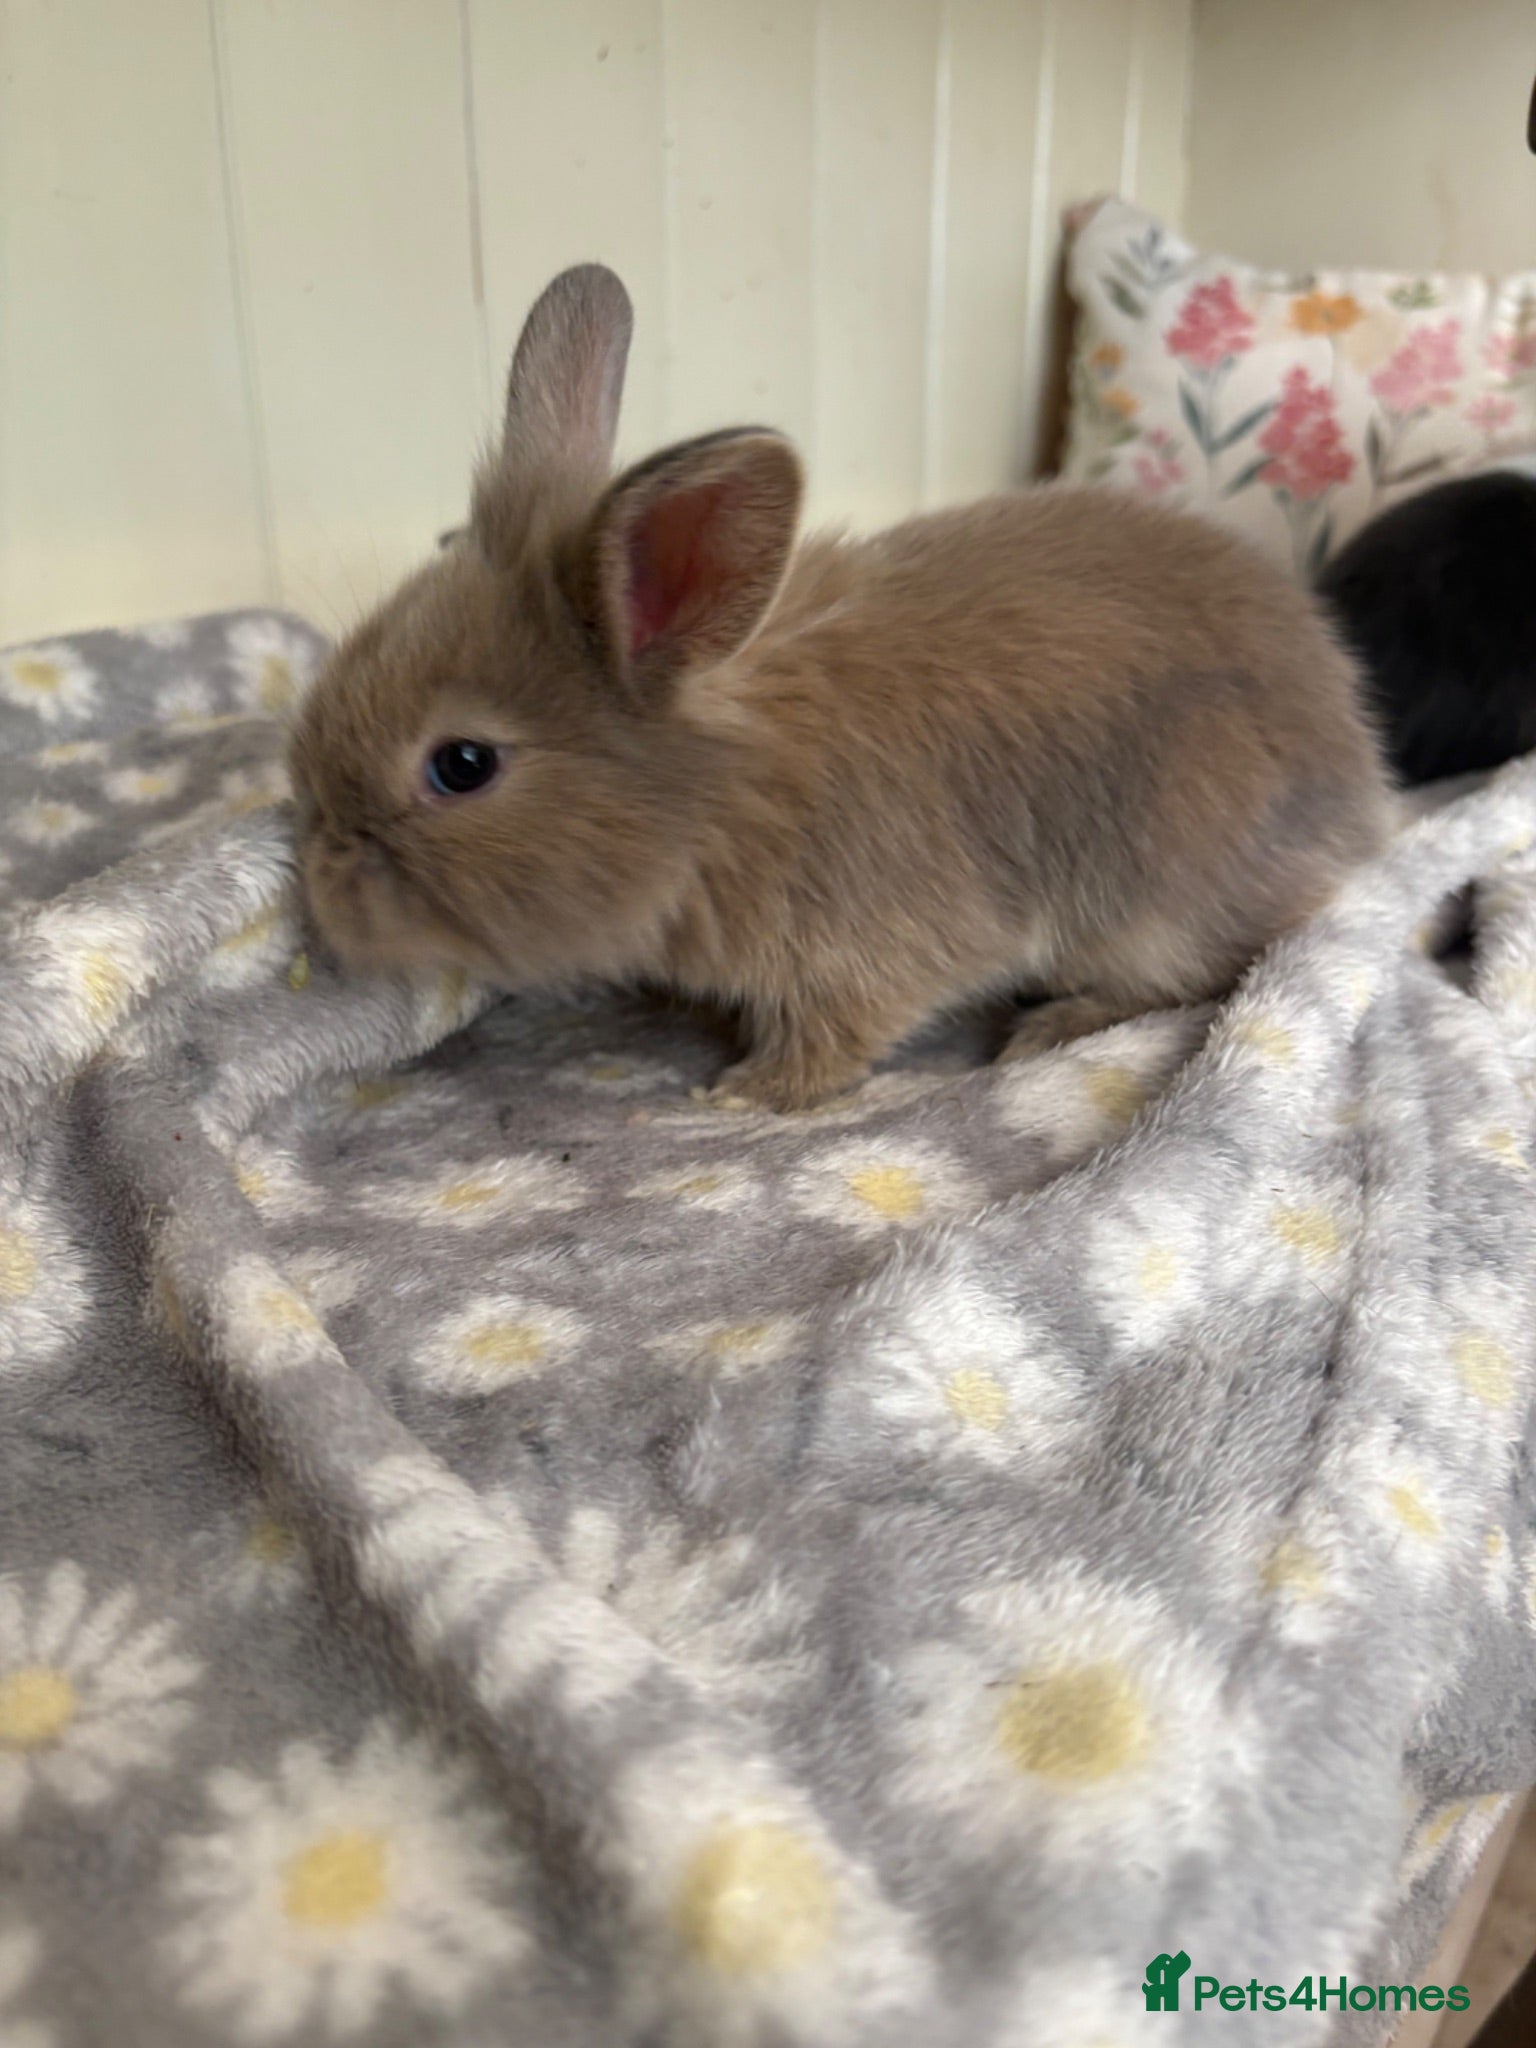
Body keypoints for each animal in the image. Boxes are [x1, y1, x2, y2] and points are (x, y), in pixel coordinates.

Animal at [289, 262, 1393, 1113]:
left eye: (462, 764)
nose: (318, 877)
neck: (721, 803)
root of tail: (1357, 774)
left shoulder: (869, 952)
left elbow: (836, 1037)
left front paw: (743, 1093)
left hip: (1157, 892)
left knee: (1203, 974)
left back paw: (1052, 1029)